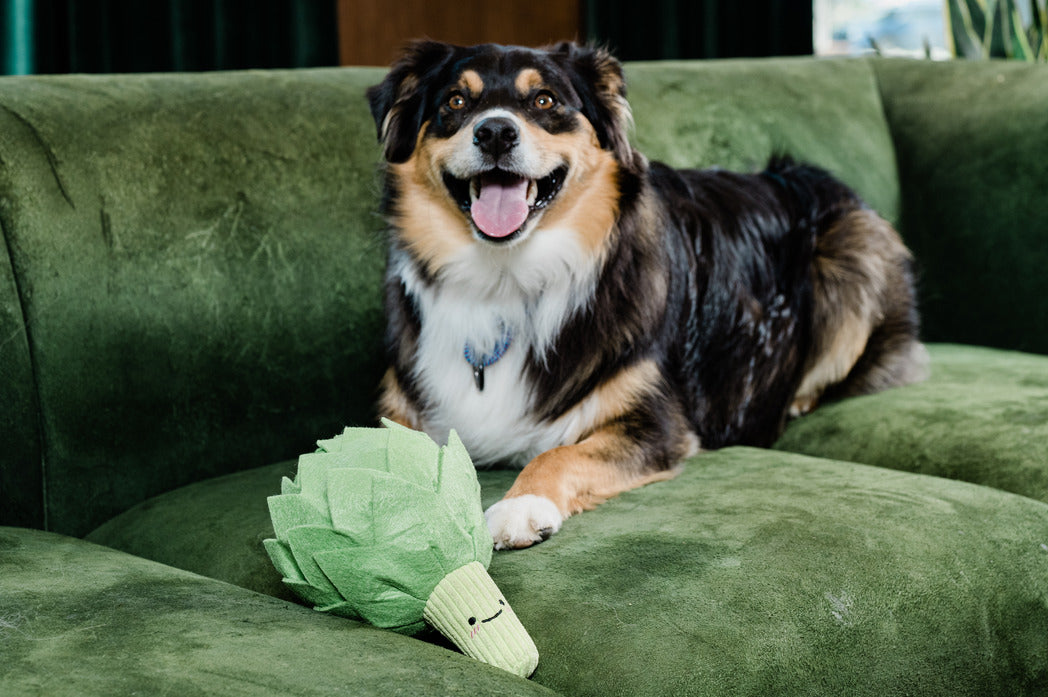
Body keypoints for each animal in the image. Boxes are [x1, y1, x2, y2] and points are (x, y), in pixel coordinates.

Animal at [366, 39, 926, 549]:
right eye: (455, 102)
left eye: (545, 100)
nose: (495, 132)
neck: (506, 277)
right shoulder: (400, 410)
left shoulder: (658, 422)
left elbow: (562, 452)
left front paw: (520, 504)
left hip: (854, 253)